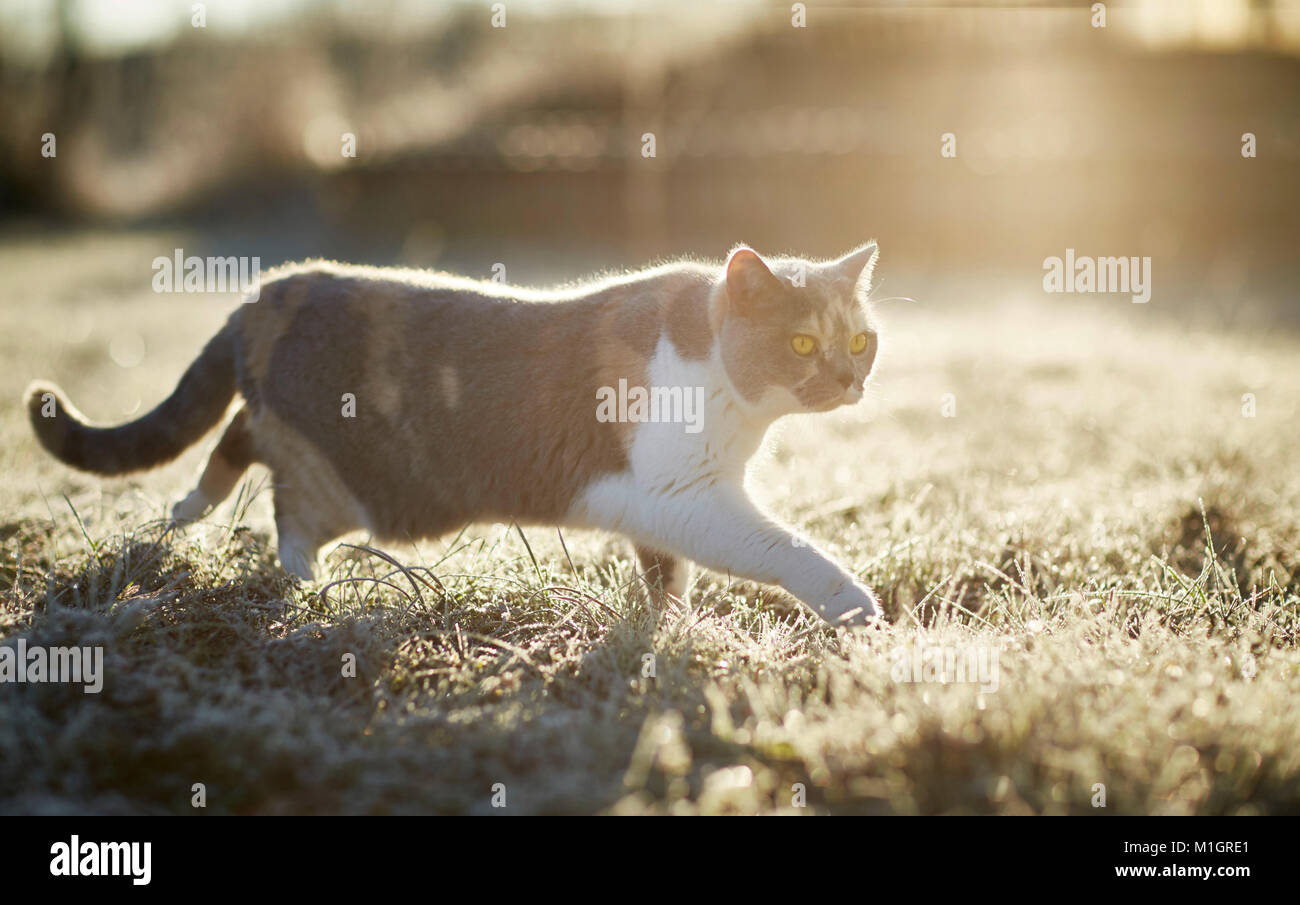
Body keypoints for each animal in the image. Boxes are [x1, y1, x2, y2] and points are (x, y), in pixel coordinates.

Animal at [27, 247, 883, 629]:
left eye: (861, 339)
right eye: (803, 343)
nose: (850, 379)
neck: (738, 407)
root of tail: (270, 288)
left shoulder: (662, 508)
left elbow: (666, 577)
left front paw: (670, 628)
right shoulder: (688, 494)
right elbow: (781, 548)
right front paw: (852, 604)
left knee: (237, 432)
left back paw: (188, 509)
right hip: (336, 475)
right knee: (280, 494)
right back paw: (298, 577)